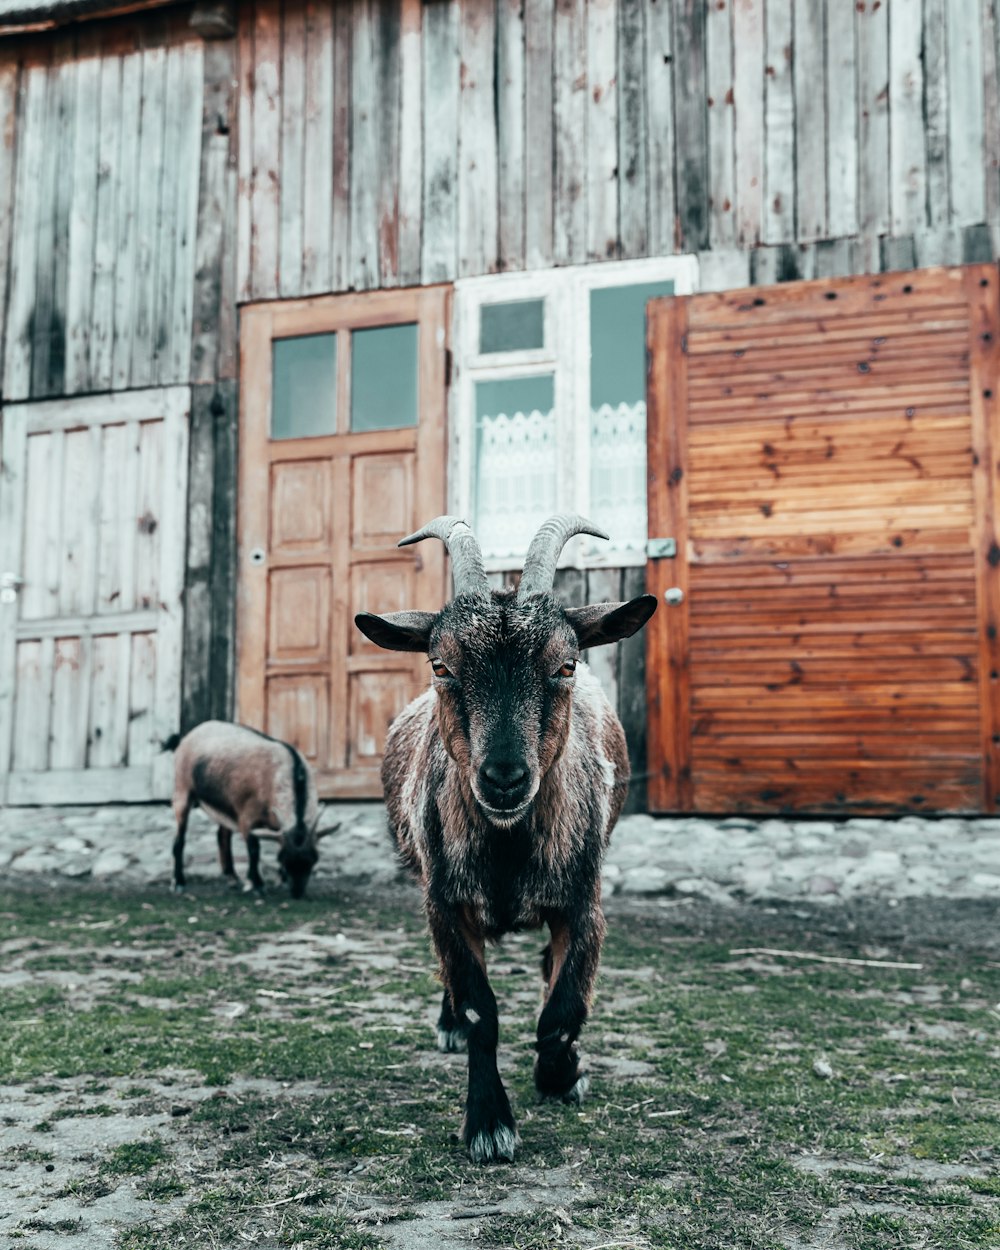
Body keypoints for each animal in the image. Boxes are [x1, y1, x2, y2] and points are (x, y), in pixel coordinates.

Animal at [162, 725, 335, 900]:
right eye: (283, 858)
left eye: (314, 858)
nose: (297, 893)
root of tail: (188, 736)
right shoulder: (246, 817)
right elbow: (254, 849)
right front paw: (256, 884)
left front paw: (280, 880)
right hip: (182, 791)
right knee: (179, 840)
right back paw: (178, 882)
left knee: (222, 835)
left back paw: (232, 877)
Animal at [352, 512, 655, 1155]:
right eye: (441, 666)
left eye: (566, 664)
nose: (505, 776)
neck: (508, 847)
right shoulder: (445, 902)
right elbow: (479, 1012)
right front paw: (489, 1122)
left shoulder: (583, 904)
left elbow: (561, 1014)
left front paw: (562, 1075)